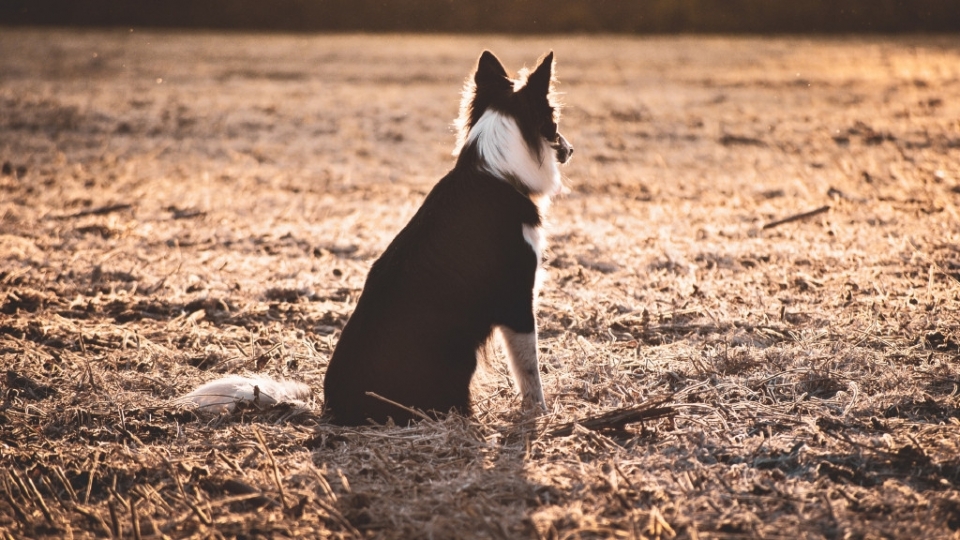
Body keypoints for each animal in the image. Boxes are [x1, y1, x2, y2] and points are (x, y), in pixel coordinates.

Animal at [179, 52, 568, 428]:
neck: (496, 170)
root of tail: (331, 412)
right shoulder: (517, 302)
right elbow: (529, 372)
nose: (571, 149)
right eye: (554, 122)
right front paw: (540, 414)